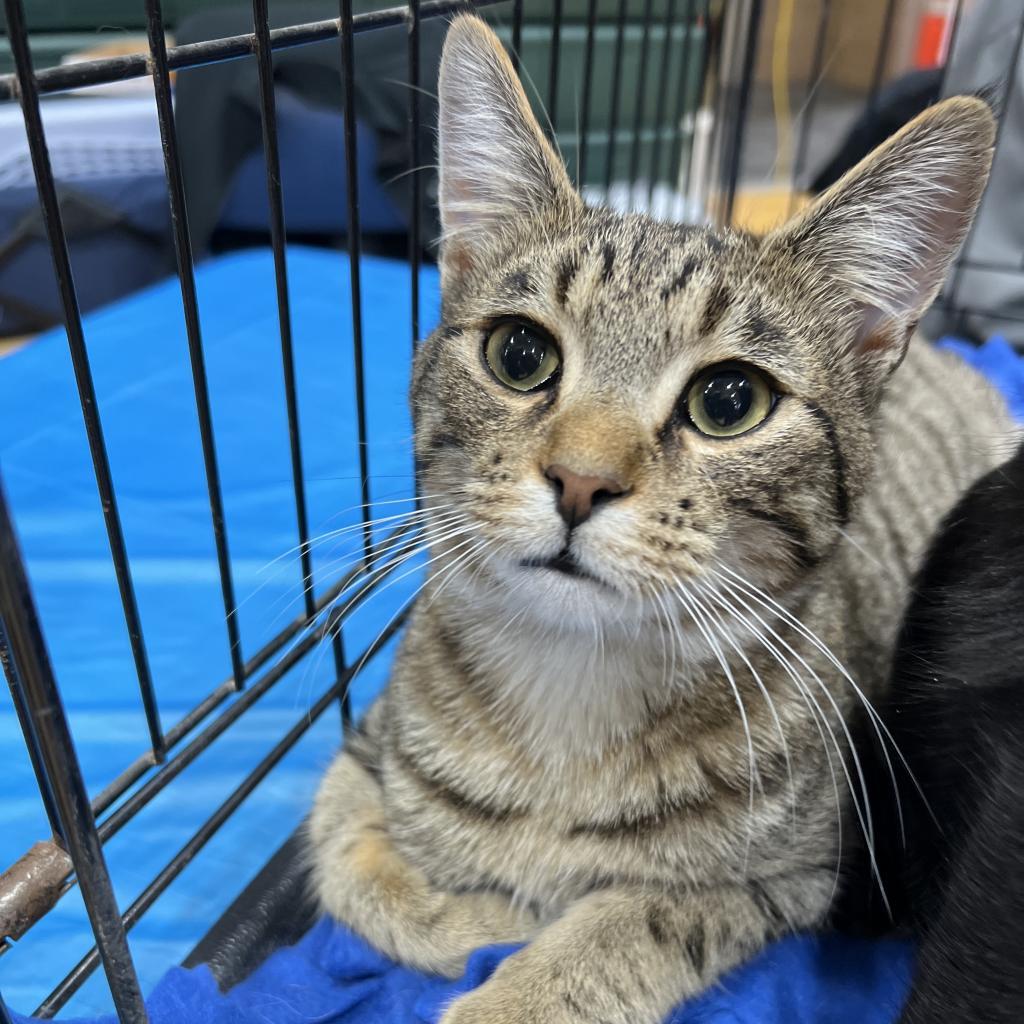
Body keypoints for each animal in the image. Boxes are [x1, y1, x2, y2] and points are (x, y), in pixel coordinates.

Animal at [307, 16, 1011, 1024]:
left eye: (730, 400)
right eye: (518, 353)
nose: (579, 480)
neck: (569, 695)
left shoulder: (794, 874)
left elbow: (630, 922)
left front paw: (515, 981)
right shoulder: (359, 756)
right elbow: (349, 863)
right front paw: (479, 917)